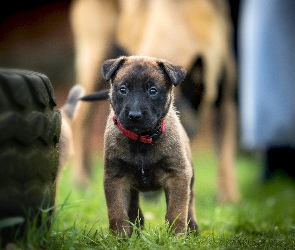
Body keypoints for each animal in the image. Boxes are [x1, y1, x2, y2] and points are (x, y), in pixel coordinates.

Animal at [71, 0, 240, 203]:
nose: (149, 195)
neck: (180, 15)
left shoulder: (226, 103)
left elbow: (225, 158)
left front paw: (228, 198)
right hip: (94, 58)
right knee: (80, 122)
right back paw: (81, 178)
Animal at [81, 55, 199, 237]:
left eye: (153, 91)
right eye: (123, 89)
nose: (135, 116)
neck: (141, 141)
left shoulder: (177, 175)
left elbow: (177, 211)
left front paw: (176, 237)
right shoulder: (116, 178)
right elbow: (117, 213)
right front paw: (120, 238)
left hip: (189, 176)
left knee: (190, 202)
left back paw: (192, 228)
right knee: (133, 206)